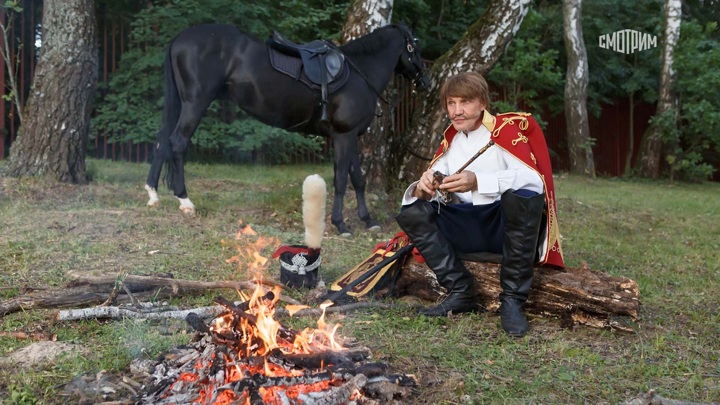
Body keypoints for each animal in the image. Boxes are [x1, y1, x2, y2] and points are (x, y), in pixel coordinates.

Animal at [143, 22, 430, 234]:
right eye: (414, 46)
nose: (425, 81)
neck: (360, 74)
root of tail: (179, 38)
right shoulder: (343, 135)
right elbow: (340, 180)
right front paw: (341, 224)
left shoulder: (350, 137)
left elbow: (358, 179)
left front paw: (368, 221)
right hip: (195, 102)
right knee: (177, 142)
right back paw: (184, 201)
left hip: (181, 104)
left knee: (162, 142)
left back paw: (153, 194)